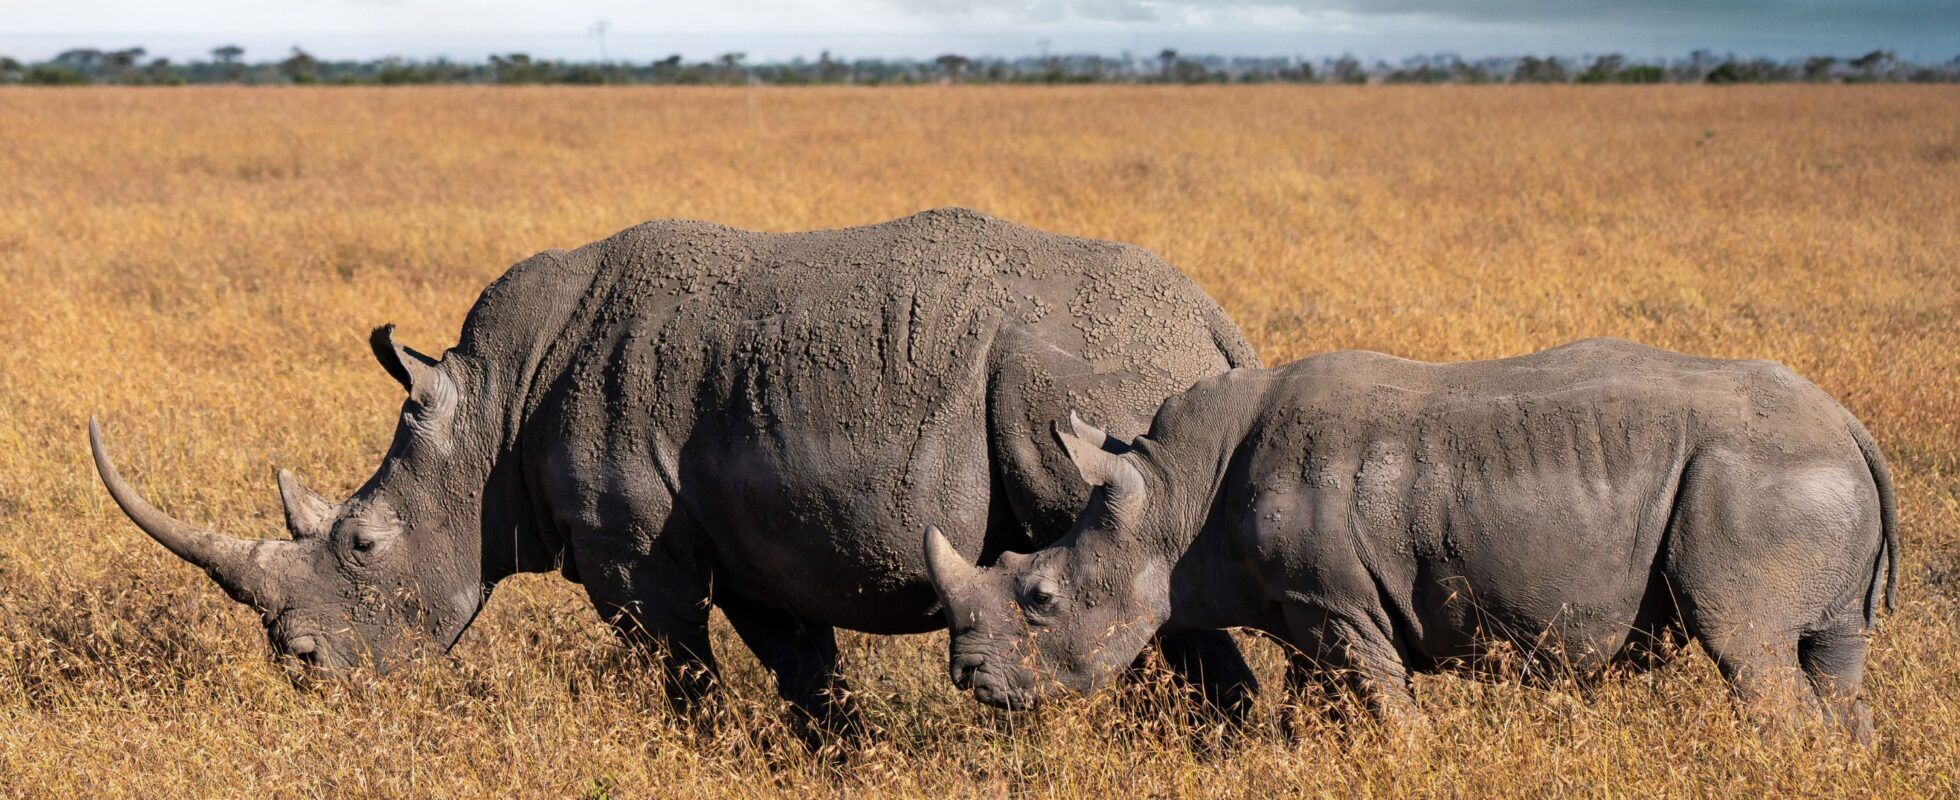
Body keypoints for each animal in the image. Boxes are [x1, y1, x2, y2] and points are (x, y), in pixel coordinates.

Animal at [84, 205, 1262, 737]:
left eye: (365, 543)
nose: (305, 671)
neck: (490, 407)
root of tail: (1211, 321)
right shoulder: (765, 546)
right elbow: (807, 677)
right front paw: (834, 760)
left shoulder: (633, 555)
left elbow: (680, 675)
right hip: (1116, 372)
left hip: (1085, 378)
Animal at [925, 337, 1905, 745]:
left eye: (1041, 599)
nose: (969, 680)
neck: (1172, 498)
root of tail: (1852, 426)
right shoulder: (1312, 607)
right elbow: (1318, 705)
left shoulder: (1338, 603)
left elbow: (1387, 707)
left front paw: (1407, 758)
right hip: (1804, 480)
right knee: (1832, 658)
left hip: (1759, 481)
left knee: (1747, 646)